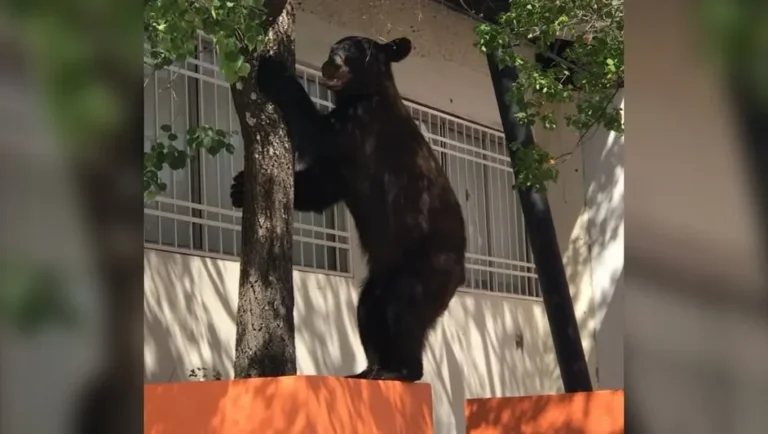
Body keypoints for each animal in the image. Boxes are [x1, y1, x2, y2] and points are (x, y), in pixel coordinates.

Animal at [231, 37, 464, 384]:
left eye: (353, 50)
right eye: (333, 47)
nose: (329, 64)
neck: (364, 94)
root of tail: (460, 273)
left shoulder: (361, 131)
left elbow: (315, 132)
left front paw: (273, 71)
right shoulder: (345, 166)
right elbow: (321, 186)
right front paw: (238, 187)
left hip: (427, 265)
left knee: (404, 309)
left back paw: (399, 369)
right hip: (384, 274)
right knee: (369, 309)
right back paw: (368, 368)